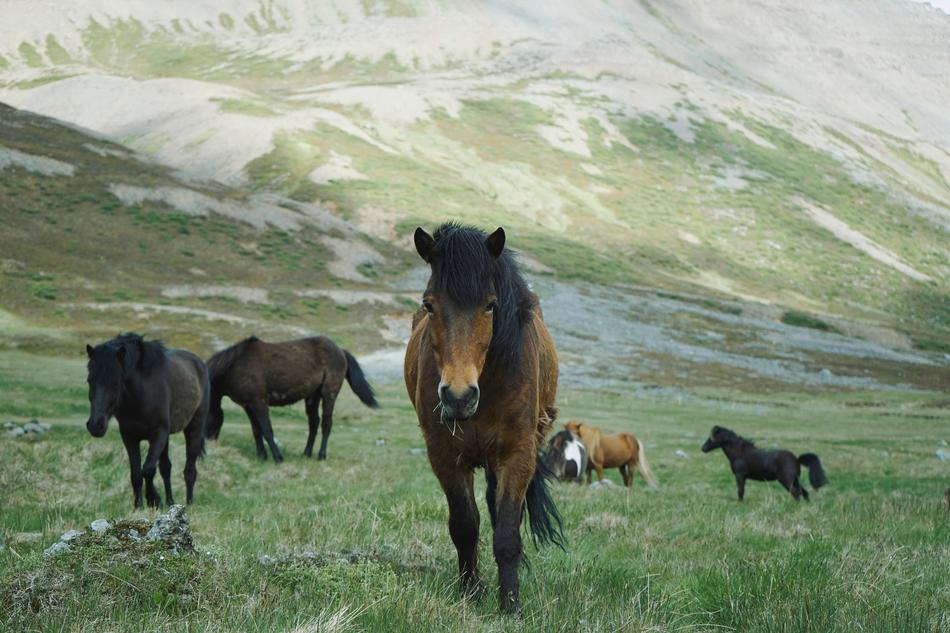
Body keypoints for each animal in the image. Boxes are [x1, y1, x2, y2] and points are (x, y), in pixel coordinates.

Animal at [85, 333, 209, 508]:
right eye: (90, 380)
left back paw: (189, 502)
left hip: (194, 428)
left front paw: (153, 499)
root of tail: (199, 363)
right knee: (166, 468)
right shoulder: (129, 436)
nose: (96, 425)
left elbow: (148, 469)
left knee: (190, 470)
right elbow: (136, 474)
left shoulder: (158, 434)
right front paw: (139, 505)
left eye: (116, 382)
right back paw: (170, 501)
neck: (141, 394)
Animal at [205, 336, 377, 462]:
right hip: (312, 397)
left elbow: (267, 430)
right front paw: (262, 457)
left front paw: (277, 458)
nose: (208, 443)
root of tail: (340, 350)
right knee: (314, 423)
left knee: (326, 424)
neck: (235, 365)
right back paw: (306, 453)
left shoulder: (259, 403)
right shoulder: (248, 405)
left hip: (329, 394)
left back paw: (321, 455)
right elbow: (257, 431)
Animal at [404, 223, 563, 614]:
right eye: (429, 304)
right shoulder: (445, 457)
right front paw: (471, 592)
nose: (459, 397)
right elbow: (465, 526)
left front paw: (510, 605)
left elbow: (506, 532)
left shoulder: (517, 455)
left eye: (491, 305)